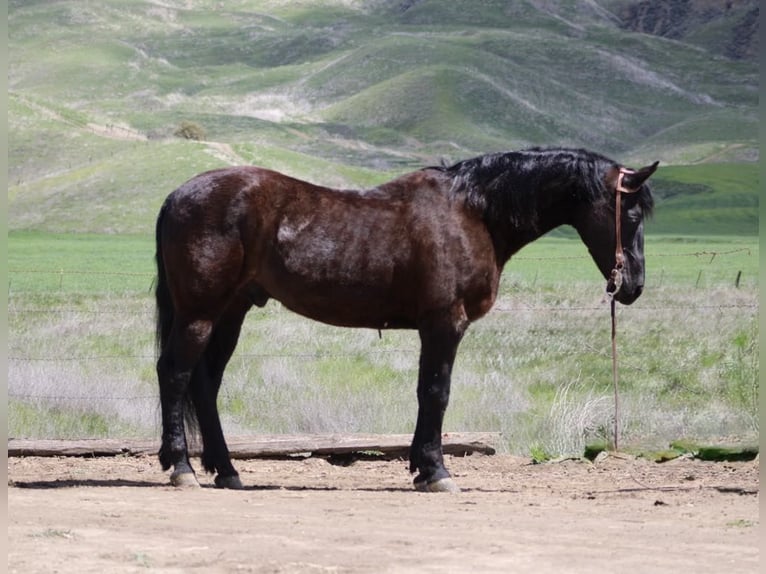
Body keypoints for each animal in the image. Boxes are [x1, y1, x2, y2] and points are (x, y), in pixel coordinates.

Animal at [154, 146, 657, 492]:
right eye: (631, 212)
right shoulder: (444, 324)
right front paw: (436, 472)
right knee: (175, 375)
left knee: (205, 384)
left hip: (231, 312)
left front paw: (420, 468)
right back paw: (181, 468)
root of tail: (176, 195)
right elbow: (437, 393)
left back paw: (227, 471)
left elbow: (424, 394)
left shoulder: (433, 329)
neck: (474, 213)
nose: (632, 285)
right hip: (200, 312)